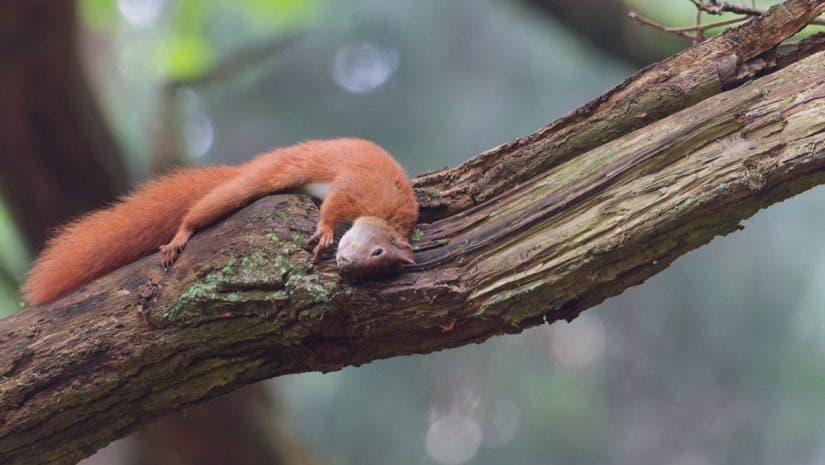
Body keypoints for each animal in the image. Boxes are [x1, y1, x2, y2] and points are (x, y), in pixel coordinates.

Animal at [21, 138, 418, 305]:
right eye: (377, 251)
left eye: (381, 264)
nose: (349, 266)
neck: (388, 214)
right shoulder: (358, 185)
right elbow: (332, 207)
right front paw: (323, 231)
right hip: (260, 179)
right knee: (203, 208)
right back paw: (179, 236)